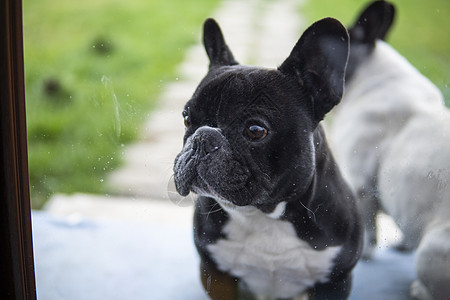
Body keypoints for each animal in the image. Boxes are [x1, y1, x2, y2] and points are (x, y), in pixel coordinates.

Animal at [326, 1, 450, 298]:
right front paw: (404, 242)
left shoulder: (361, 186)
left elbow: (368, 228)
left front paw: (364, 255)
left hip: (432, 249)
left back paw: (419, 290)